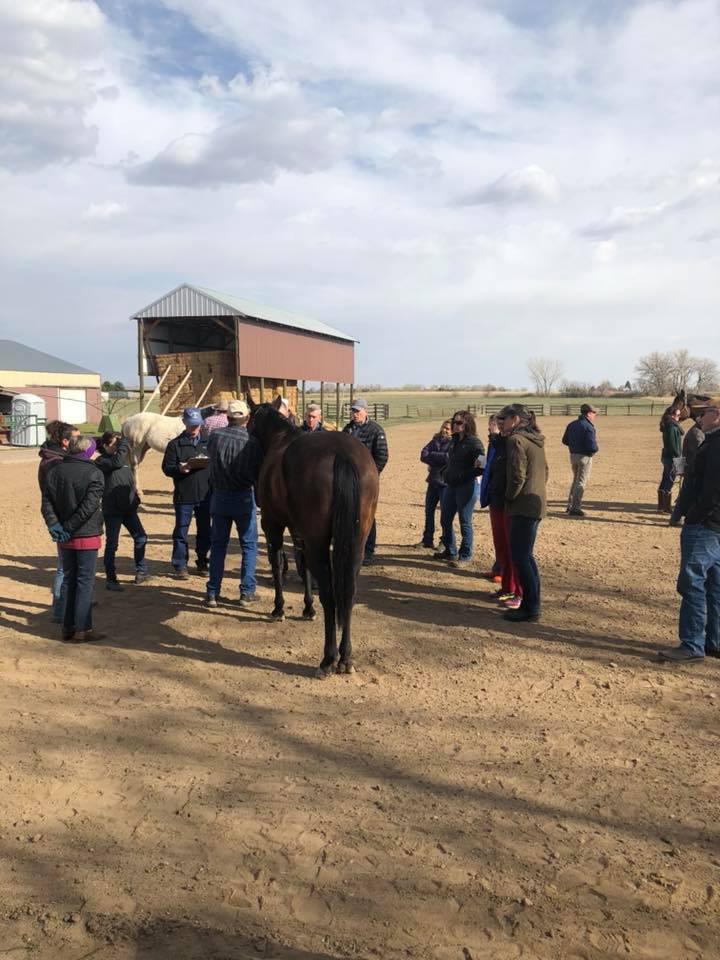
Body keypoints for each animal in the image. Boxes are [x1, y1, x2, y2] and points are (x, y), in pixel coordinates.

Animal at [248, 396, 379, 678]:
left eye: (250, 421)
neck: (280, 438)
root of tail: (342, 454)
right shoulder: (300, 532)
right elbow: (302, 564)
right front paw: (307, 608)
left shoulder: (273, 525)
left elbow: (278, 563)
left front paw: (279, 608)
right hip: (356, 542)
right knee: (348, 592)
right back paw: (346, 658)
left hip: (318, 540)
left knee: (330, 594)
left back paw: (328, 659)